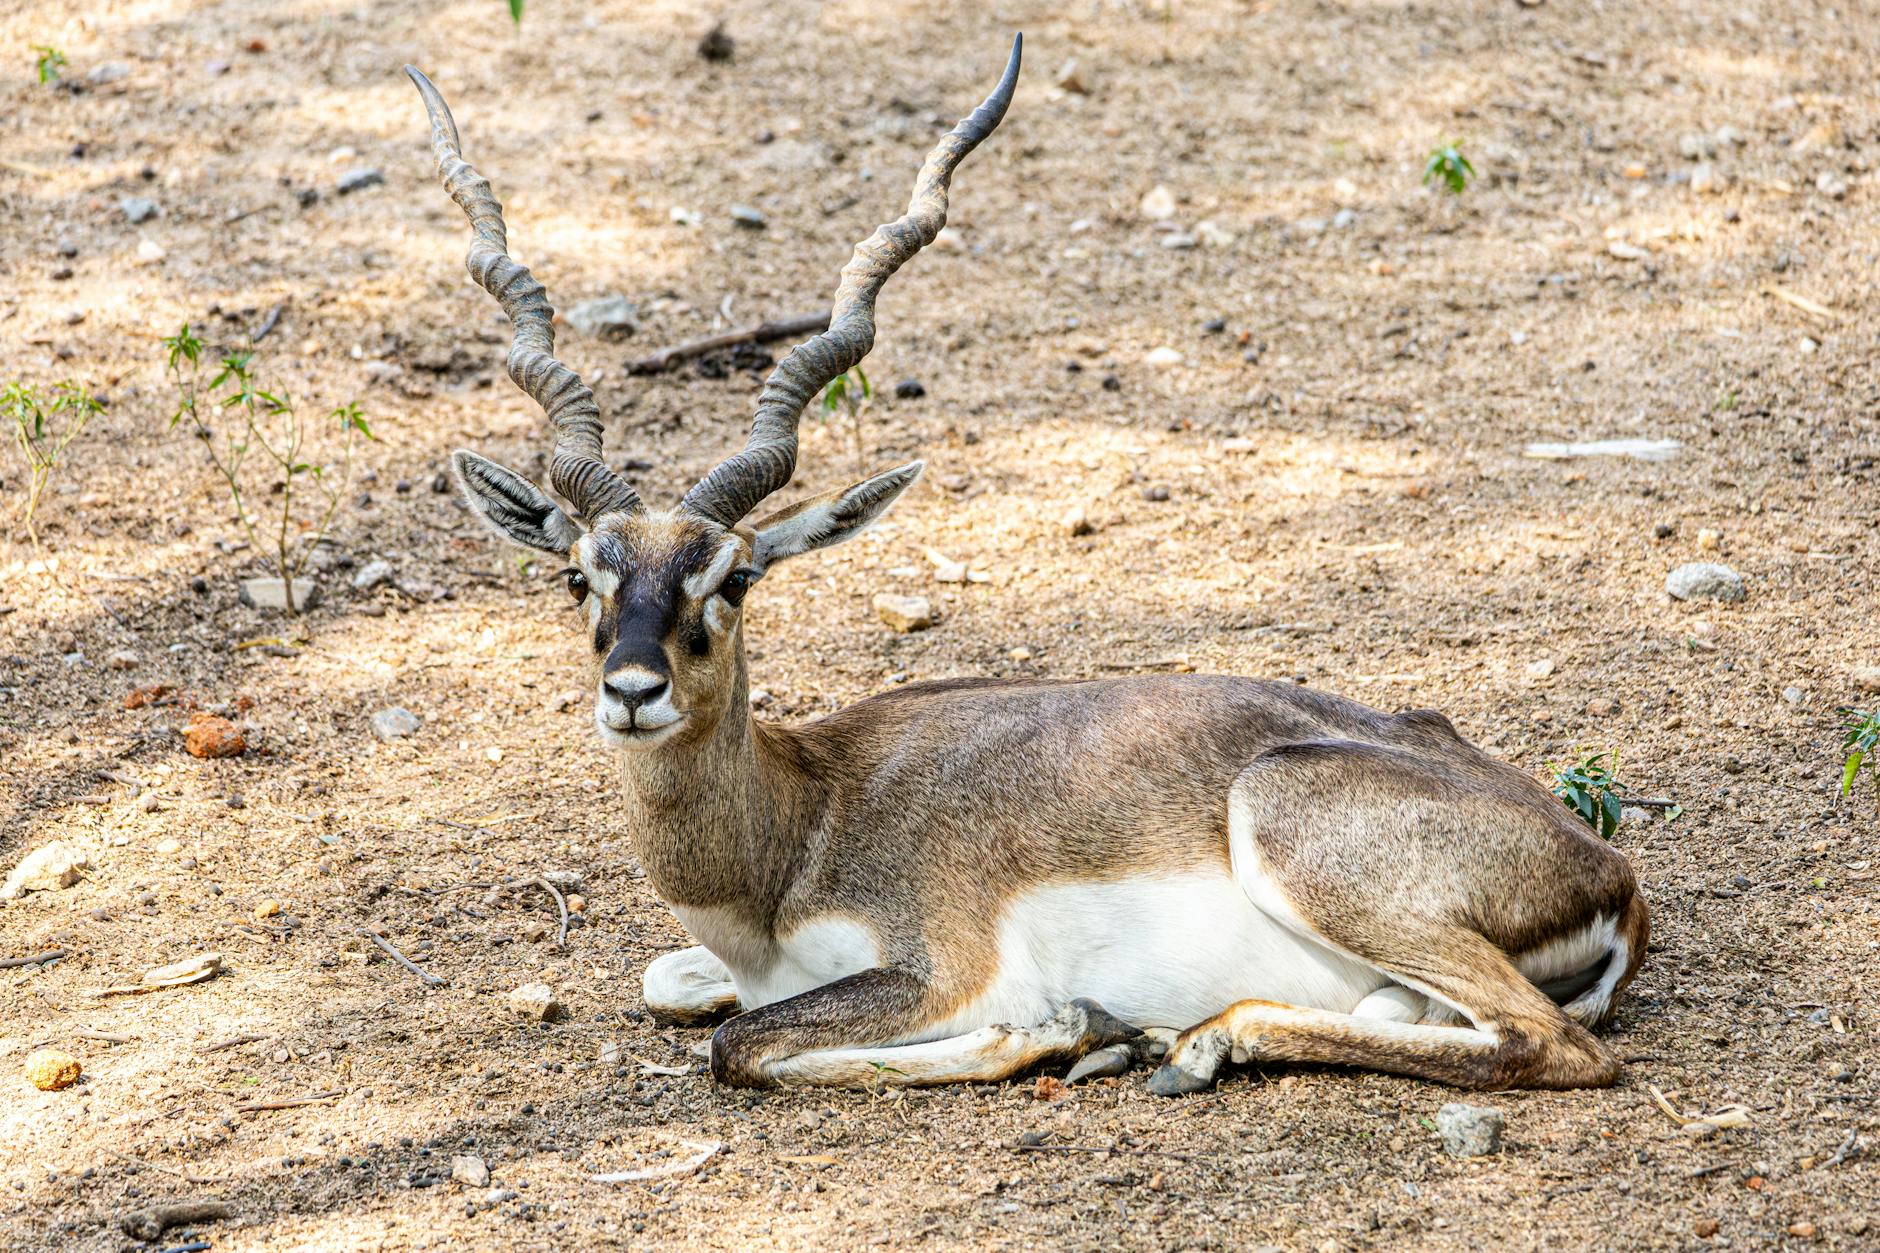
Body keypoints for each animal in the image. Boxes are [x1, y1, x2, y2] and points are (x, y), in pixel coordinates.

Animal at [403, 38, 1649, 1095]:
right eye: (579, 576)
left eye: (735, 579)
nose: (632, 689)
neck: (793, 830)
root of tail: (1607, 871)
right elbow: (676, 988)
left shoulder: (936, 968)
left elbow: (741, 1043)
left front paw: (1058, 1025)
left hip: (1298, 834)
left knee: (1552, 1042)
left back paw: (1173, 1039)